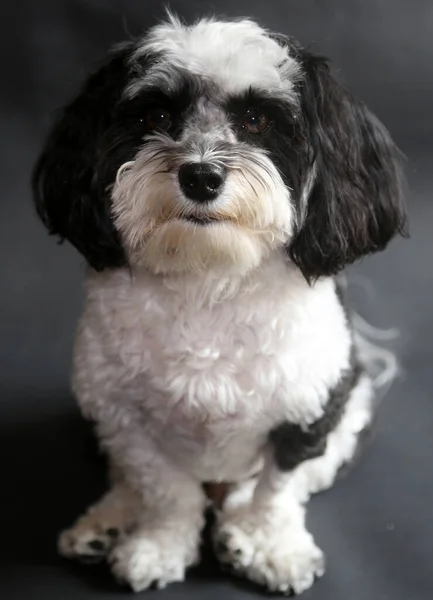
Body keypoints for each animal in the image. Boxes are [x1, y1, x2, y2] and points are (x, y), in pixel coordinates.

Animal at [33, 14, 404, 596]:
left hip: (350, 416)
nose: (201, 175)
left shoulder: (311, 408)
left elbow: (277, 490)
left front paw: (271, 546)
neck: (209, 278)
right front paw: (160, 545)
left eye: (257, 119)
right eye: (157, 116)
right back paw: (106, 520)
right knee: (126, 478)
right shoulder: (119, 412)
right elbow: (164, 487)